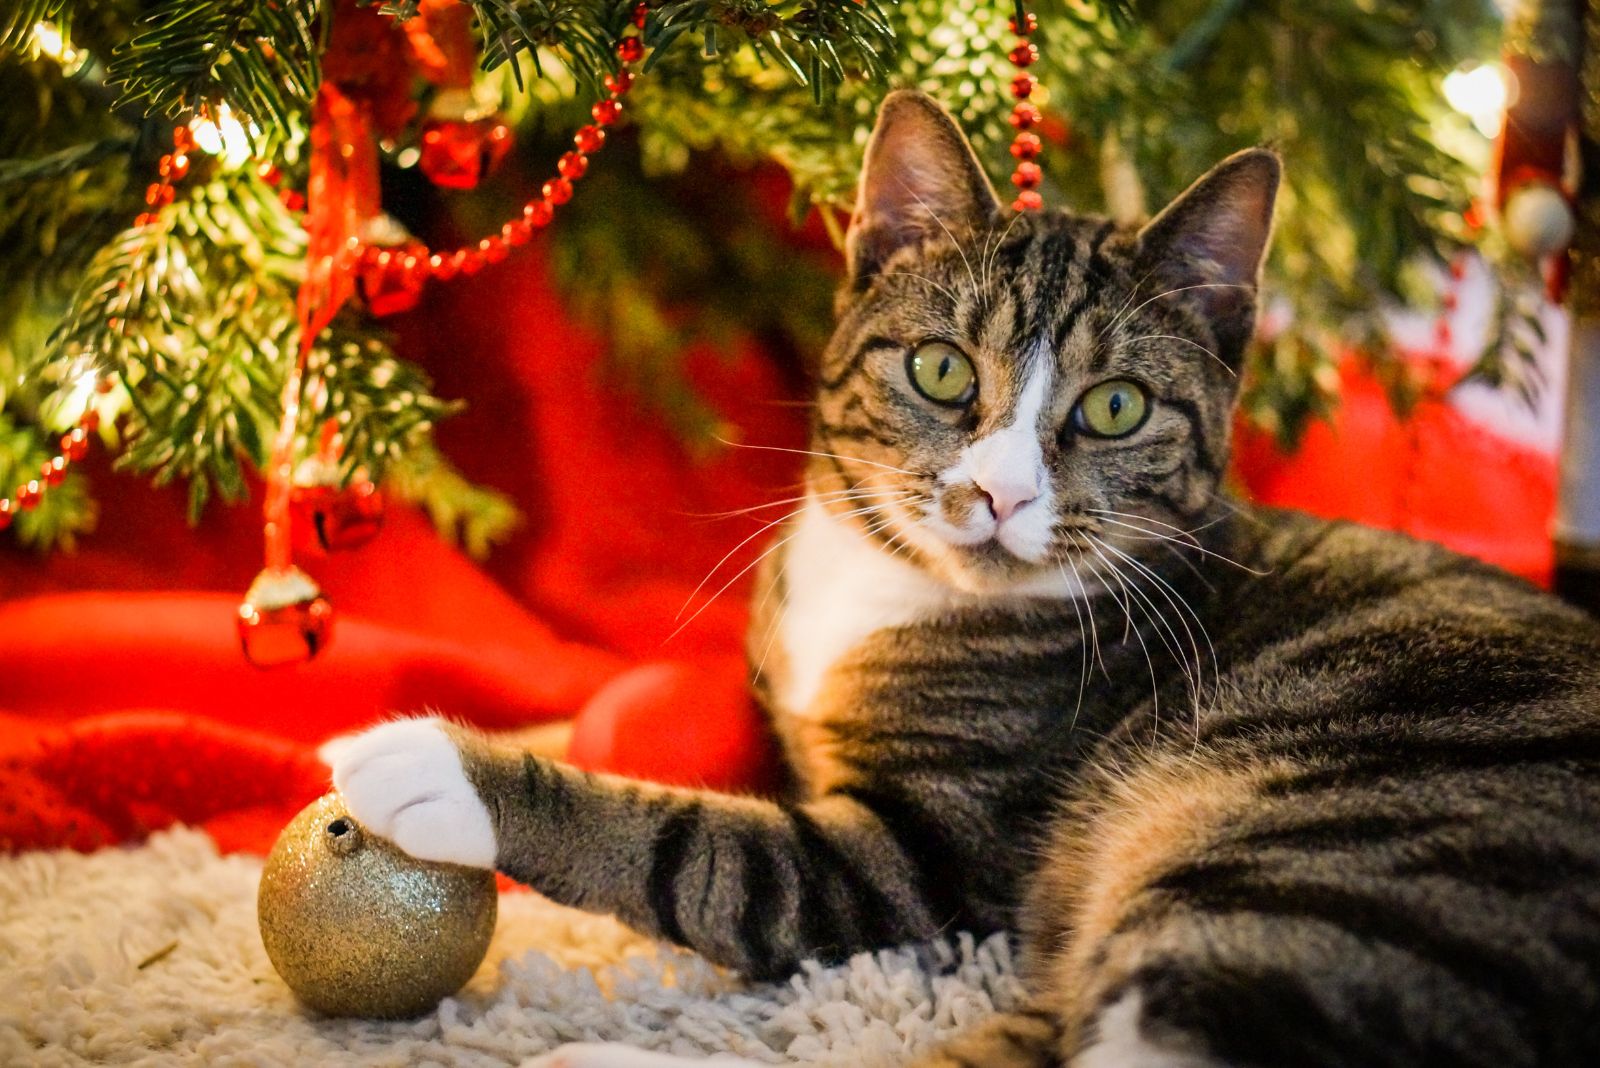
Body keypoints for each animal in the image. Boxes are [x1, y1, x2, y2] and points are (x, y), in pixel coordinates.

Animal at [318, 93, 1600, 1068]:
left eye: (1115, 406)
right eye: (940, 370)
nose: (999, 493)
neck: (881, 585)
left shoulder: (914, 854)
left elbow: (697, 847)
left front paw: (433, 763)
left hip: (1305, 867)